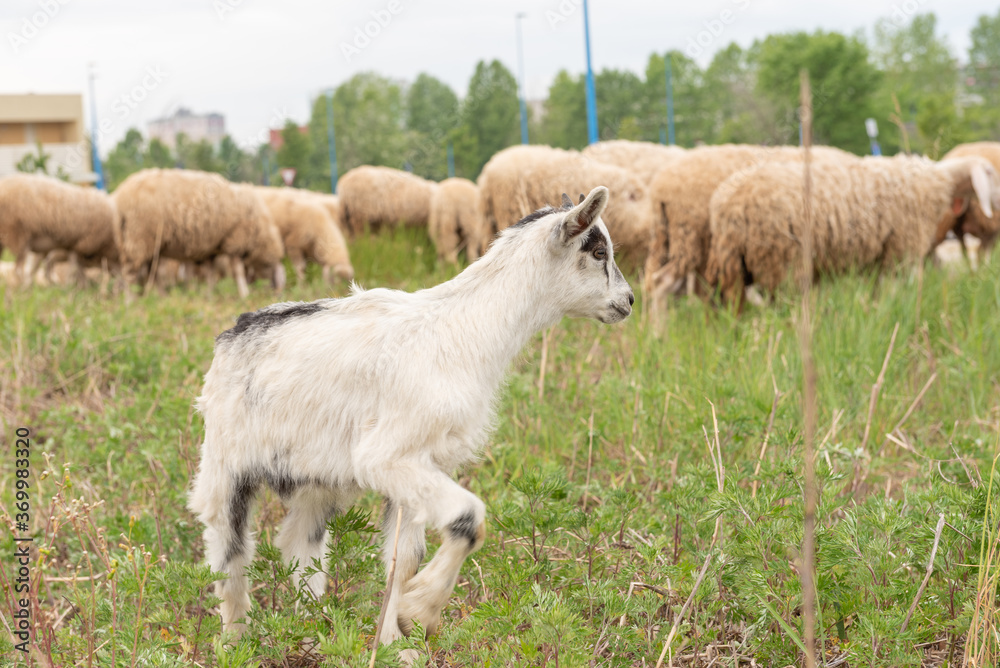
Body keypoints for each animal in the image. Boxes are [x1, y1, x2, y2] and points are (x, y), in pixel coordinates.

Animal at [188, 186, 634, 651]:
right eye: (598, 251)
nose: (628, 301)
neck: (464, 328)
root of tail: (234, 331)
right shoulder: (386, 456)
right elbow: (468, 518)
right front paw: (419, 613)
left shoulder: (419, 463)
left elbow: (401, 559)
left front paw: (395, 644)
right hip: (225, 463)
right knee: (229, 553)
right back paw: (236, 642)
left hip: (317, 476)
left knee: (298, 545)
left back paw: (311, 634)